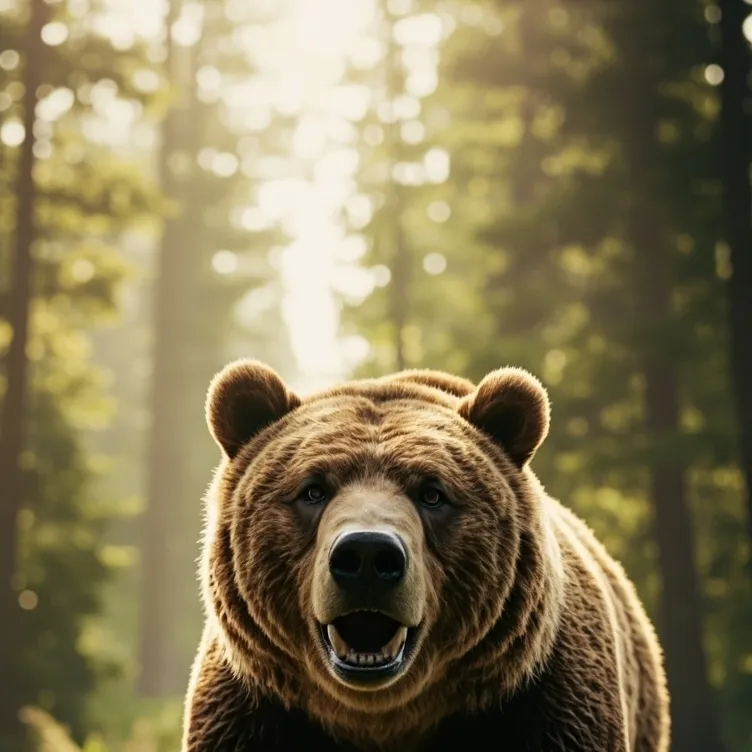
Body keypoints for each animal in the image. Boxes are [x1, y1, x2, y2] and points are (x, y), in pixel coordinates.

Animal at [183, 359, 670, 752]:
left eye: (433, 494)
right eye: (313, 490)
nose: (367, 555)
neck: (386, 717)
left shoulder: (542, 702)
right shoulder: (254, 712)